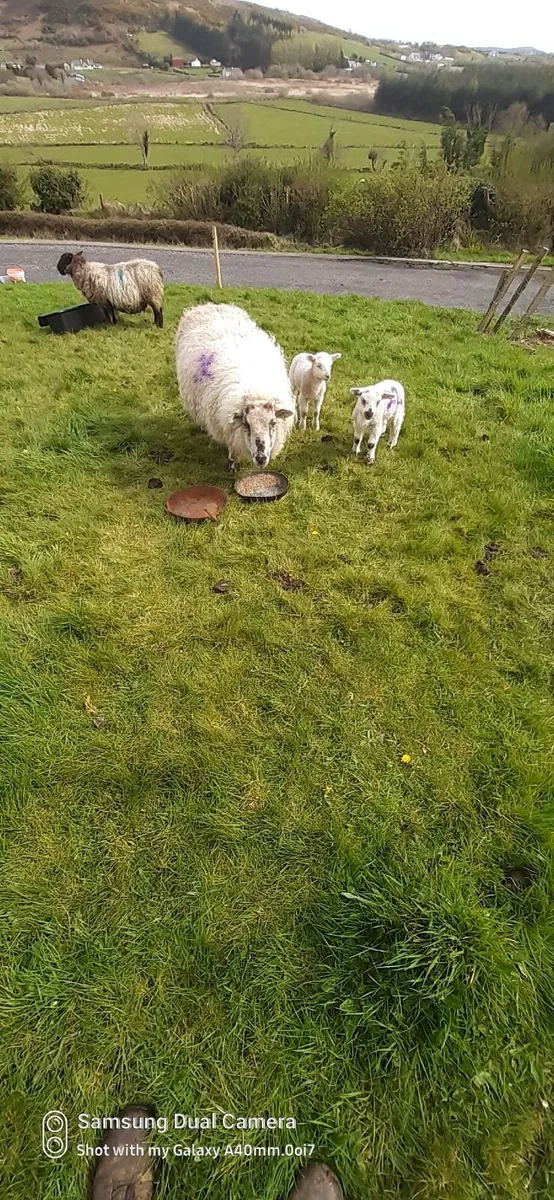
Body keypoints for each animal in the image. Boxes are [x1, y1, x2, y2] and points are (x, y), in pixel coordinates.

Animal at [175, 303, 295, 471]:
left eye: (272, 423)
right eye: (246, 424)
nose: (261, 458)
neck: (256, 390)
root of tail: (209, 305)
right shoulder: (228, 429)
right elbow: (232, 448)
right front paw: (232, 464)